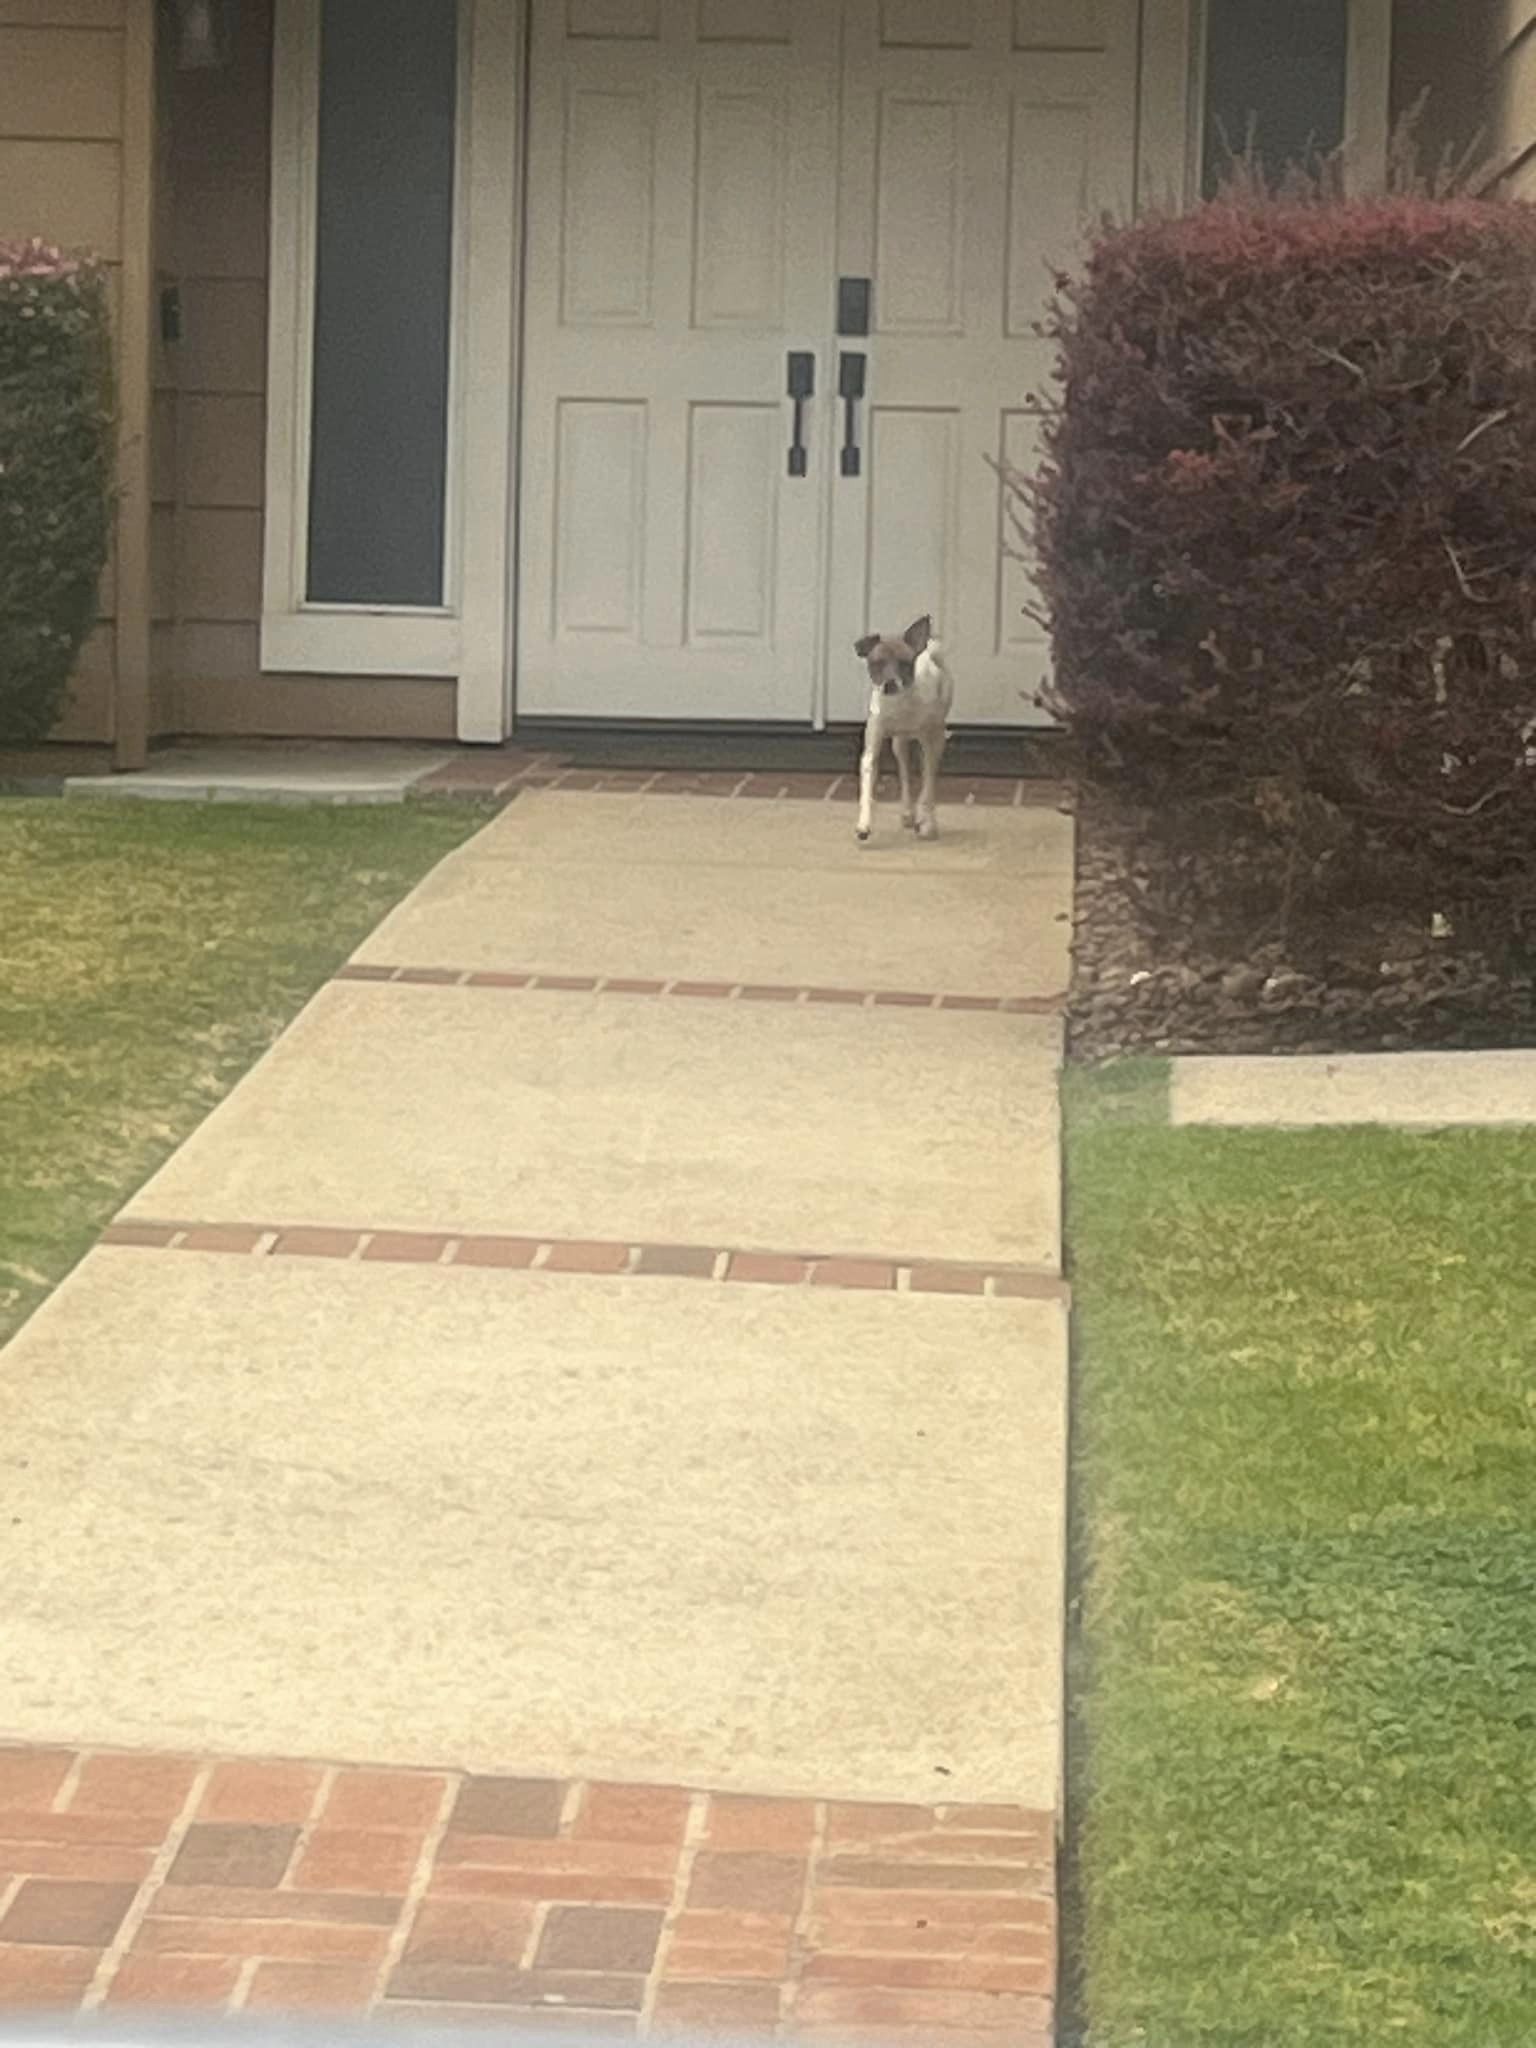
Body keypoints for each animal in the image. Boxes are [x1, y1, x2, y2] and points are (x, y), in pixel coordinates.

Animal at [860, 610, 958, 843]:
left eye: (904, 663)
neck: (901, 707)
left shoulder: (932, 743)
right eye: (876, 664)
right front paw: (864, 824)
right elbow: (868, 785)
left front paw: (927, 823)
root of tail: (927, 652)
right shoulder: (872, 745)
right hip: (899, 744)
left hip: (933, 739)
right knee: (904, 773)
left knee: (926, 779)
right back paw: (907, 812)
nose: (889, 683)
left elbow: (927, 786)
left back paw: (923, 817)